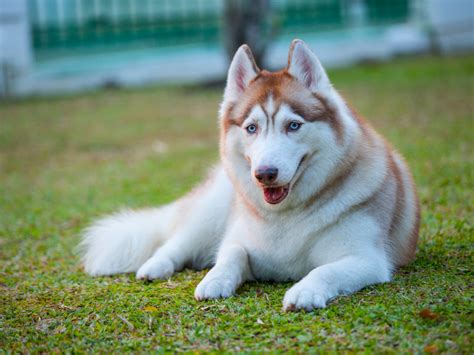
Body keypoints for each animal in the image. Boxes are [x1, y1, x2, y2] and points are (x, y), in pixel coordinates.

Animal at [81, 39, 418, 312]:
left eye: (293, 125)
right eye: (251, 128)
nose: (265, 174)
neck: (286, 216)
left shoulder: (366, 259)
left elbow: (324, 270)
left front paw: (305, 290)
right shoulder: (239, 239)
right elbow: (231, 254)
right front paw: (215, 279)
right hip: (211, 212)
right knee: (176, 242)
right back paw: (154, 266)